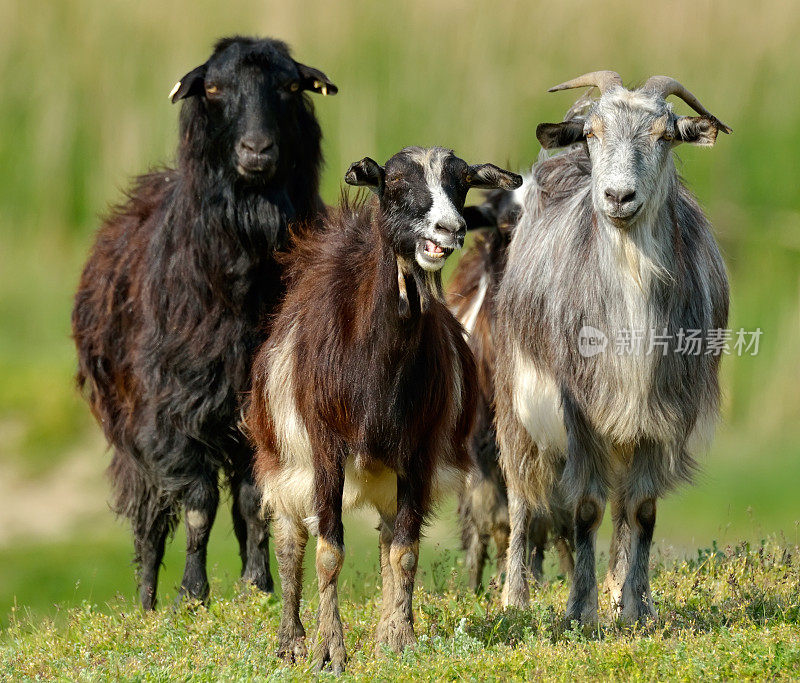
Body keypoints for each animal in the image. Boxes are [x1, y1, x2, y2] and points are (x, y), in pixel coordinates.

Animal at [250, 146, 524, 672]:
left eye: (461, 182)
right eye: (395, 184)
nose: (449, 229)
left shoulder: (418, 453)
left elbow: (405, 551)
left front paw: (399, 640)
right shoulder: (325, 450)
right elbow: (328, 551)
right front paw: (329, 651)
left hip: (384, 473)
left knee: (385, 537)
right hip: (284, 461)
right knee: (290, 539)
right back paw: (290, 641)